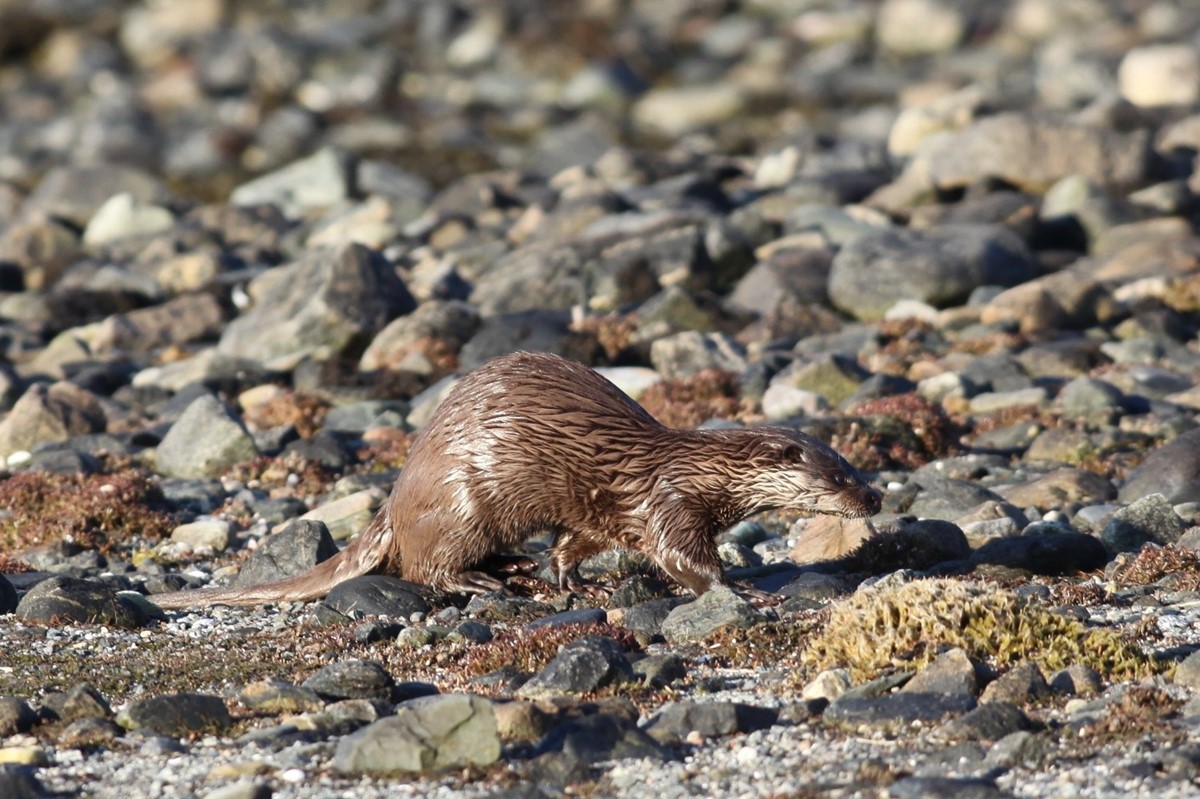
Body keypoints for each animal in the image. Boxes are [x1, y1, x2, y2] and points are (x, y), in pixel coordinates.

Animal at [152, 347, 883, 604]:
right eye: (840, 476)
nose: (876, 495)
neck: (698, 470)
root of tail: (397, 495)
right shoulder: (669, 503)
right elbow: (684, 558)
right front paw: (743, 586)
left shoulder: (602, 514)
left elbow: (573, 543)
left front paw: (569, 580)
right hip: (462, 502)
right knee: (423, 565)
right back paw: (481, 579)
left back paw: (514, 568)